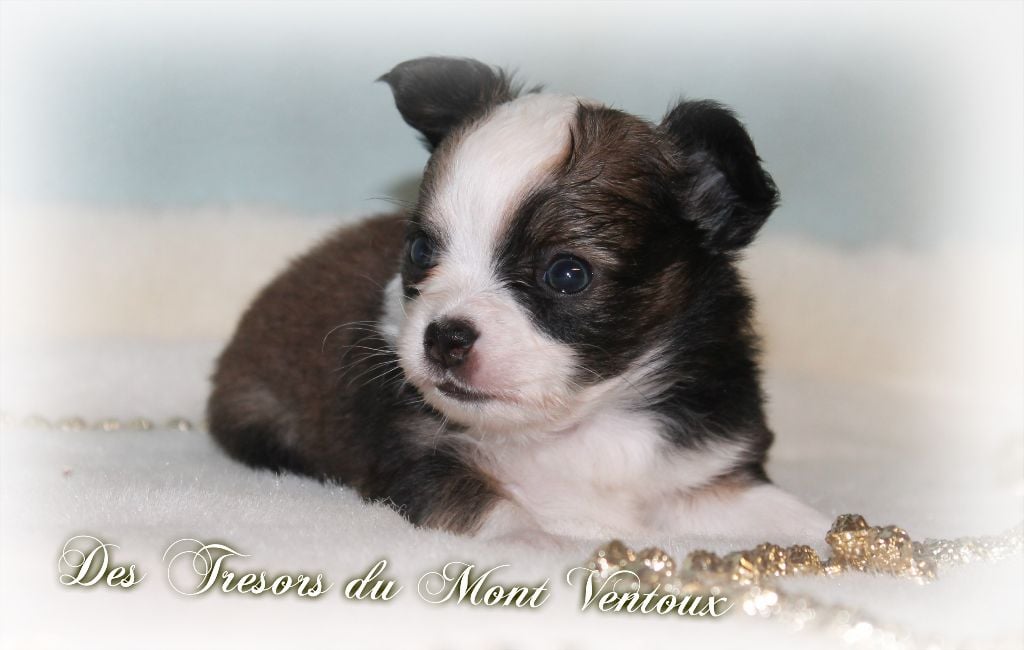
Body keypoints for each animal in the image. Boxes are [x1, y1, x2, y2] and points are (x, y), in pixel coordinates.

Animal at [207, 56, 826, 543]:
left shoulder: (706, 477)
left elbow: (794, 516)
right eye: (420, 249)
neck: (579, 426)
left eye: (567, 275)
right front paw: (547, 547)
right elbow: (498, 513)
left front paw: (836, 538)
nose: (444, 337)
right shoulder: (420, 457)